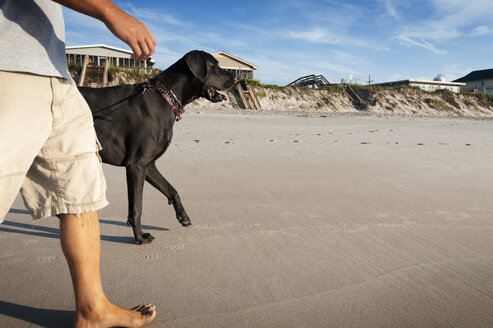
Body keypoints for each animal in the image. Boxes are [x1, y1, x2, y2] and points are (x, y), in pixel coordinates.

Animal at [79, 50, 234, 242]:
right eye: (215, 66)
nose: (236, 77)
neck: (165, 98)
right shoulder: (136, 165)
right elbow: (137, 207)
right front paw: (140, 237)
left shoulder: (148, 165)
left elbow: (171, 189)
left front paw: (183, 216)